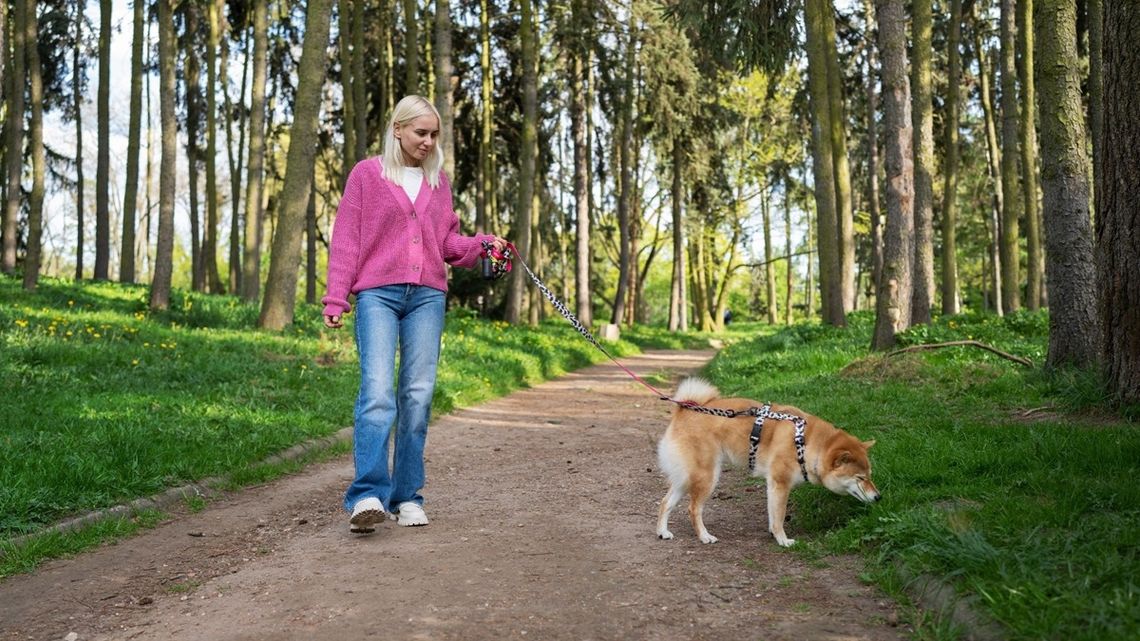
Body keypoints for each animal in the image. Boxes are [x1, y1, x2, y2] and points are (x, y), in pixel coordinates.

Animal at [656, 376, 875, 547]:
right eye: (860, 478)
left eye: (869, 475)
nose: (878, 497)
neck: (805, 442)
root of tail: (684, 410)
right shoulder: (781, 483)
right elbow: (780, 515)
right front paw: (783, 540)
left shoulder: (773, 485)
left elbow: (773, 513)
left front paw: (773, 533)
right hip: (707, 476)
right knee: (693, 509)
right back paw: (704, 536)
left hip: (685, 478)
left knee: (665, 502)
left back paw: (662, 532)